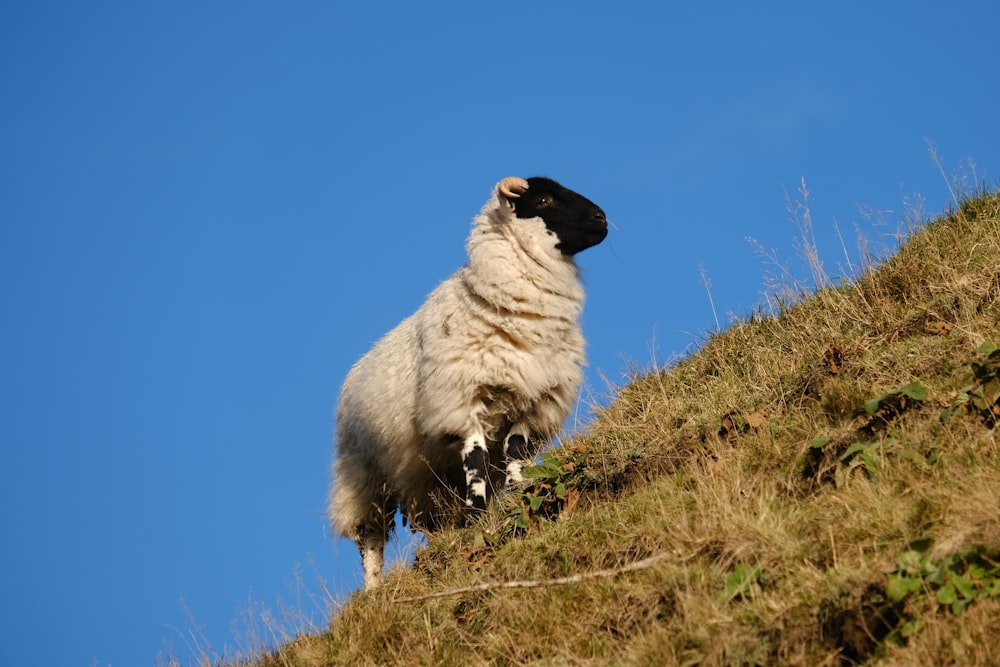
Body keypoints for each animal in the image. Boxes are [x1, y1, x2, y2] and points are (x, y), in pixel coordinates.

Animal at [332, 175, 604, 588]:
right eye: (543, 199)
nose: (602, 219)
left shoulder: (532, 401)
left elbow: (515, 452)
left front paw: (516, 494)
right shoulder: (461, 403)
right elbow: (476, 460)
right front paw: (476, 515)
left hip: (425, 482)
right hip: (363, 477)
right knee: (370, 539)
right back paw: (373, 587)